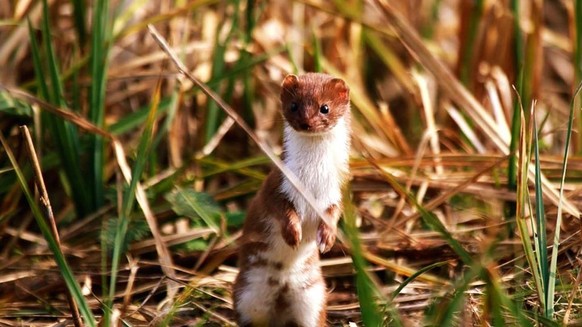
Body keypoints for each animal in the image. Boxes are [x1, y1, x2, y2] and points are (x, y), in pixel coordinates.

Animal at [233, 73, 352, 326]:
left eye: (325, 107)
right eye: (294, 105)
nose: (306, 123)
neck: (312, 181)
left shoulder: (335, 191)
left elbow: (333, 213)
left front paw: (327, 238)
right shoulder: (279, 184)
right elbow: (281, 210)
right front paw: (292, 233)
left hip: (313, 295)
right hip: (247, 292)